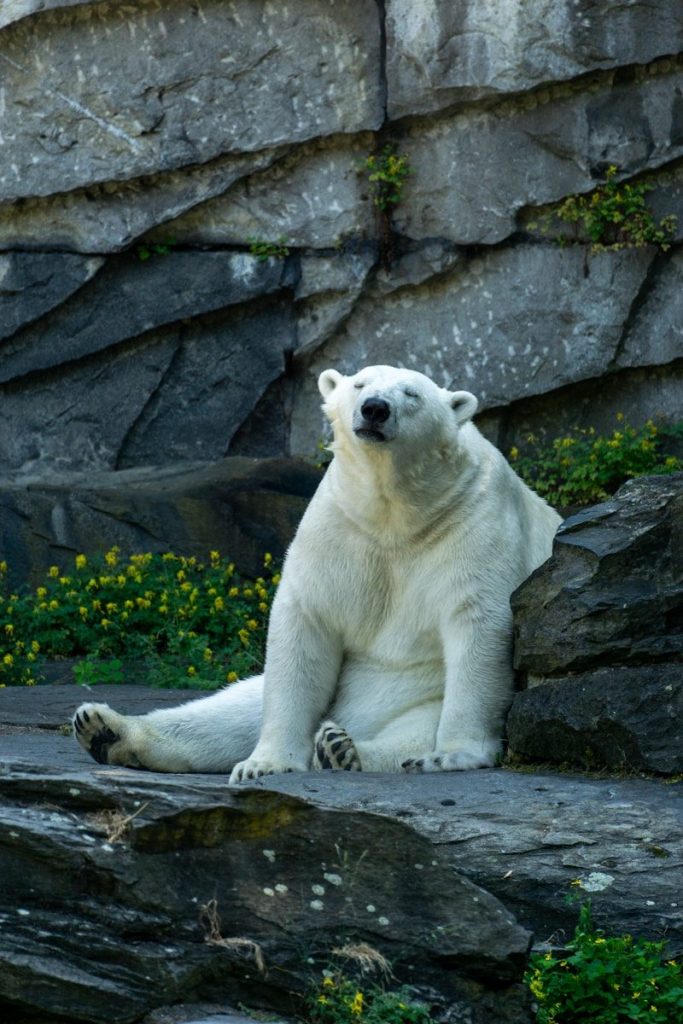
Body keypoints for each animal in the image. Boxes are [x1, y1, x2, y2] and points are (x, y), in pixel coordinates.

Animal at [73, 364, 561, 780]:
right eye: (360, 384)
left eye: (412, 393)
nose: (375, 409)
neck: (400, 513)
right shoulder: (341, 527)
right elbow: (306, 625)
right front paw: (265, 765)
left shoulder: (473, 520)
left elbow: (478, 620)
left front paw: (451, 755)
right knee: (231, 710)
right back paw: (104, 728)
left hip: (418, 697)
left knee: (410, 732)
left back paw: (343, 748)